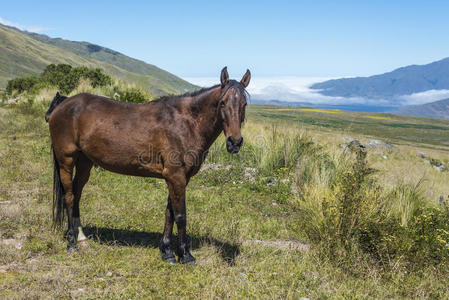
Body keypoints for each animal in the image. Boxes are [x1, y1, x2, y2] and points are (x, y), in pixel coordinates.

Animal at [47, 67, 250, 262]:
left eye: (244, 104)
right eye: (222, 102)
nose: (235, 142)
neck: (186, 124)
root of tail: (64, 104)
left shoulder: (177, 178)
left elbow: (170, 213)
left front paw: (167, 251)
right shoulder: (176, 176)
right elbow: (180, 216)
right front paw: (185, 254)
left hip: (84, 162)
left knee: (77, 194)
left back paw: (81, 238)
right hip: (66, 161)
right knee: (69, 197)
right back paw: (72, 243)